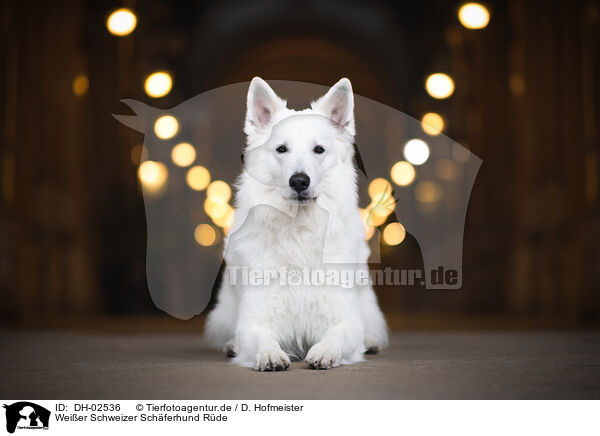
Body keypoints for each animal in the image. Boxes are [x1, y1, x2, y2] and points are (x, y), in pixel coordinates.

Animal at [206, 76, 390, 370]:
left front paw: (325, 351)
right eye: (282, 149)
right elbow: (259, 338)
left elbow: (338, 335)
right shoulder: (254, 321)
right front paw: (269, 354)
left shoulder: (344, 320)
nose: (299, 181)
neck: (299, 230)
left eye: (319, 150)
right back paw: (230, 345)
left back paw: (370, 342)